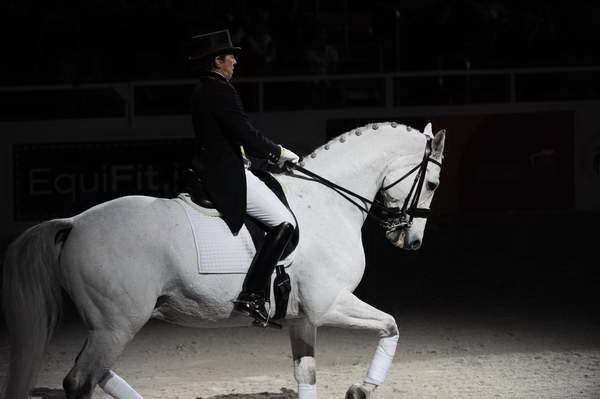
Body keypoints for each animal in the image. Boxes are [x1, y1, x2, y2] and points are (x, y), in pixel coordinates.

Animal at [2, 122, 446, 399]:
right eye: (433, 183)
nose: (412, 241)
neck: (327, 201)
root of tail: (75, 222)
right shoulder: (330, 305)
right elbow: (391, 325)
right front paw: (361, 389)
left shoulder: (302, 318)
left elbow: (306, 375)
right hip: (116, 324)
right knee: (80, 381)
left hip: (108, 325)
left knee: (95, 375)